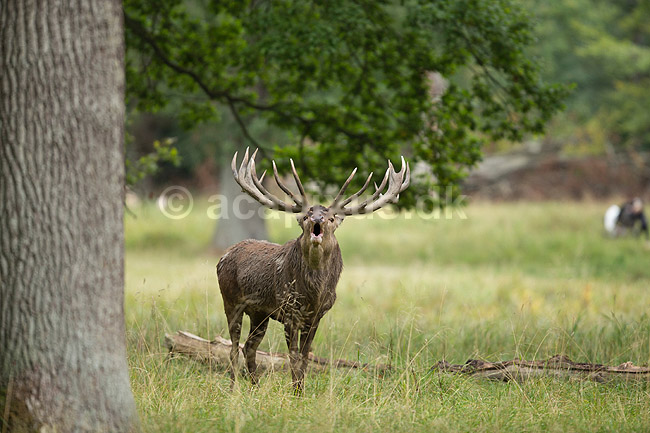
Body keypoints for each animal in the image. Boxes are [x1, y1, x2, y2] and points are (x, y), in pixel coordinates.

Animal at [216, 148, 409, 393]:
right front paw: (295, 392)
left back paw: (255, 387)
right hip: (230, 300)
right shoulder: (289, 310)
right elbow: (293, 356)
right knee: (232, 346)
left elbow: (306, 357)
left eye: (331, 217)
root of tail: (222, 257)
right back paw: (233, 389)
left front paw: (301, 391)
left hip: (260, 313)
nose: (317, 219)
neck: (313, 294)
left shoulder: (318, 315)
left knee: (249, 346)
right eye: (305, 216)